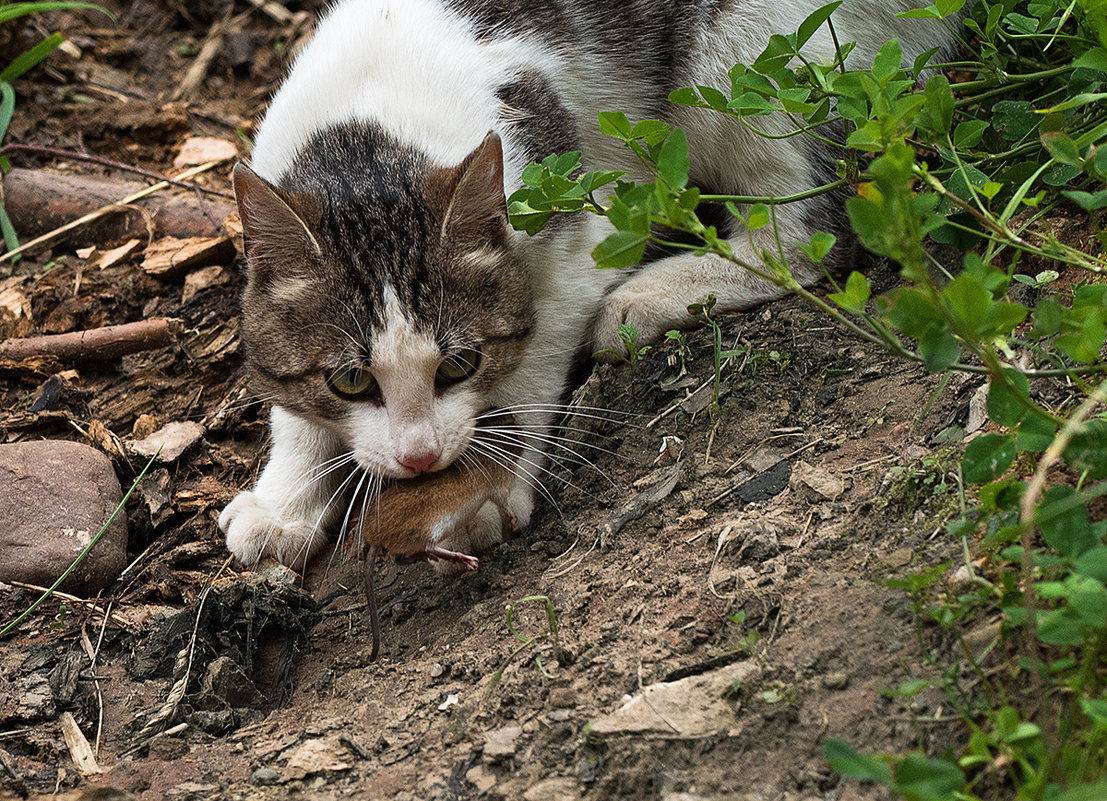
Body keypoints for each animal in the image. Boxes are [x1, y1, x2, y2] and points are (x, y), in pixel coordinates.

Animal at [218, 0, 969, 570]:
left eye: (460, 365)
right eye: (349, 380)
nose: (420, 455)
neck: (367, 138)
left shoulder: (580, 241)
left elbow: (531, 366)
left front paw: (495, 488)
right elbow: (289, 401)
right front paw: (284, 501)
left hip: (743, 59)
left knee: (809, 232)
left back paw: (647, 296)